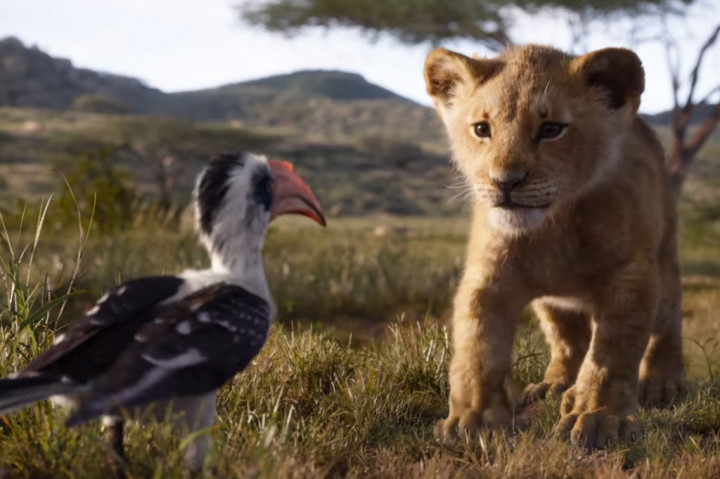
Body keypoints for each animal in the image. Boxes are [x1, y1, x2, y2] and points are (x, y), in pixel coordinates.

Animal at [423, 44, 686, 448]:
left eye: (551, 130)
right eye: (482, 129)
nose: (505, 182)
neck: (553, 226)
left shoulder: (631, 276)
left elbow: (612, 354)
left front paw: (598, 417)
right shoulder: (488, 278)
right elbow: (478, 348)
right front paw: (475, 420)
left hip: (664, 258)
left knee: (668, 320)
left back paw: (660, 383)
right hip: (552, 302)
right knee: (567, 340)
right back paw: (557, 385)